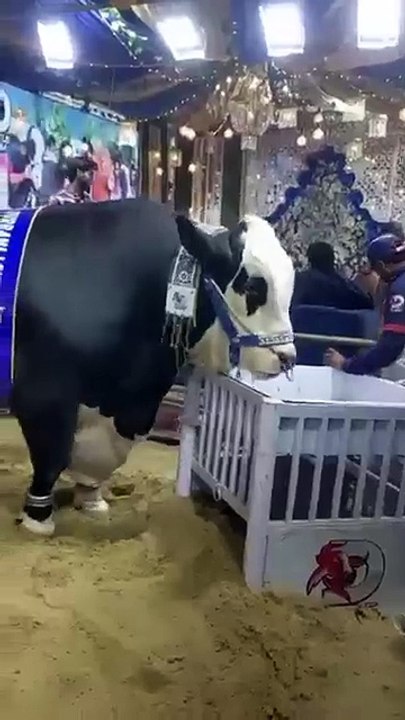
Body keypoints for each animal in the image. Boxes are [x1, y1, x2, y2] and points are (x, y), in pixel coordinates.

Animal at [11, 197, 295, 536]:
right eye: (252, 286)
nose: (287, 357)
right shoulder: (44, 391)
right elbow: (52, 453)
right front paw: (38, 519)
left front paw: (92, 500)